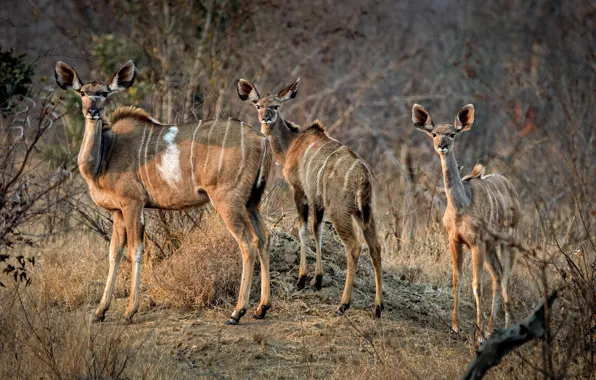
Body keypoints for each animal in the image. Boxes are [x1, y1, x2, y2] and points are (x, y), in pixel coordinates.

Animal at [54, 61, 274, 324]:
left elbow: (135, 250)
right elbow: (114, 253)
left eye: (105, 93)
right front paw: (99, 312)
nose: (93, 111)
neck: (106, 154)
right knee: (264, 238)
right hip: (252, 202)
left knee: (247, 243)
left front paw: (130, 311)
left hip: (227, 200)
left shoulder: (133, 203)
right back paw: (262, 307)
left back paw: (237, 312)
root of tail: (262, 140)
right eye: (82, 92)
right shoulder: (118, 211)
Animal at [237, 77, 382, 318]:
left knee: (354, 247)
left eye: (276, 106)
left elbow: (302, 228)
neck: (290, 146)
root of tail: (363, 177)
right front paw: (318, 280)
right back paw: (378, 307)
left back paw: (343, 305)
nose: (266, 117)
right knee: (376, 248)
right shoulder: (318, 200)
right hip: (365, 213)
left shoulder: (300, 190)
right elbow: (317, 230)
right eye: (258, 105)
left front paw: (302, 279)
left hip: (341, 211)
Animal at [412, 104, 520, 336]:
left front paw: (477, 333)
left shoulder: (476, 241)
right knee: (498, 275)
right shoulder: (455, 240)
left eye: (453, 134)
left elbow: (476, 284)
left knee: (505, 276)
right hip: (490, 247)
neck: (461, 207)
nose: (442, 146)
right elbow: (457, 279)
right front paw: (456, 326)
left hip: (509, 241)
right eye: (434, 134)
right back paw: (491, 328)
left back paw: (504, 327)